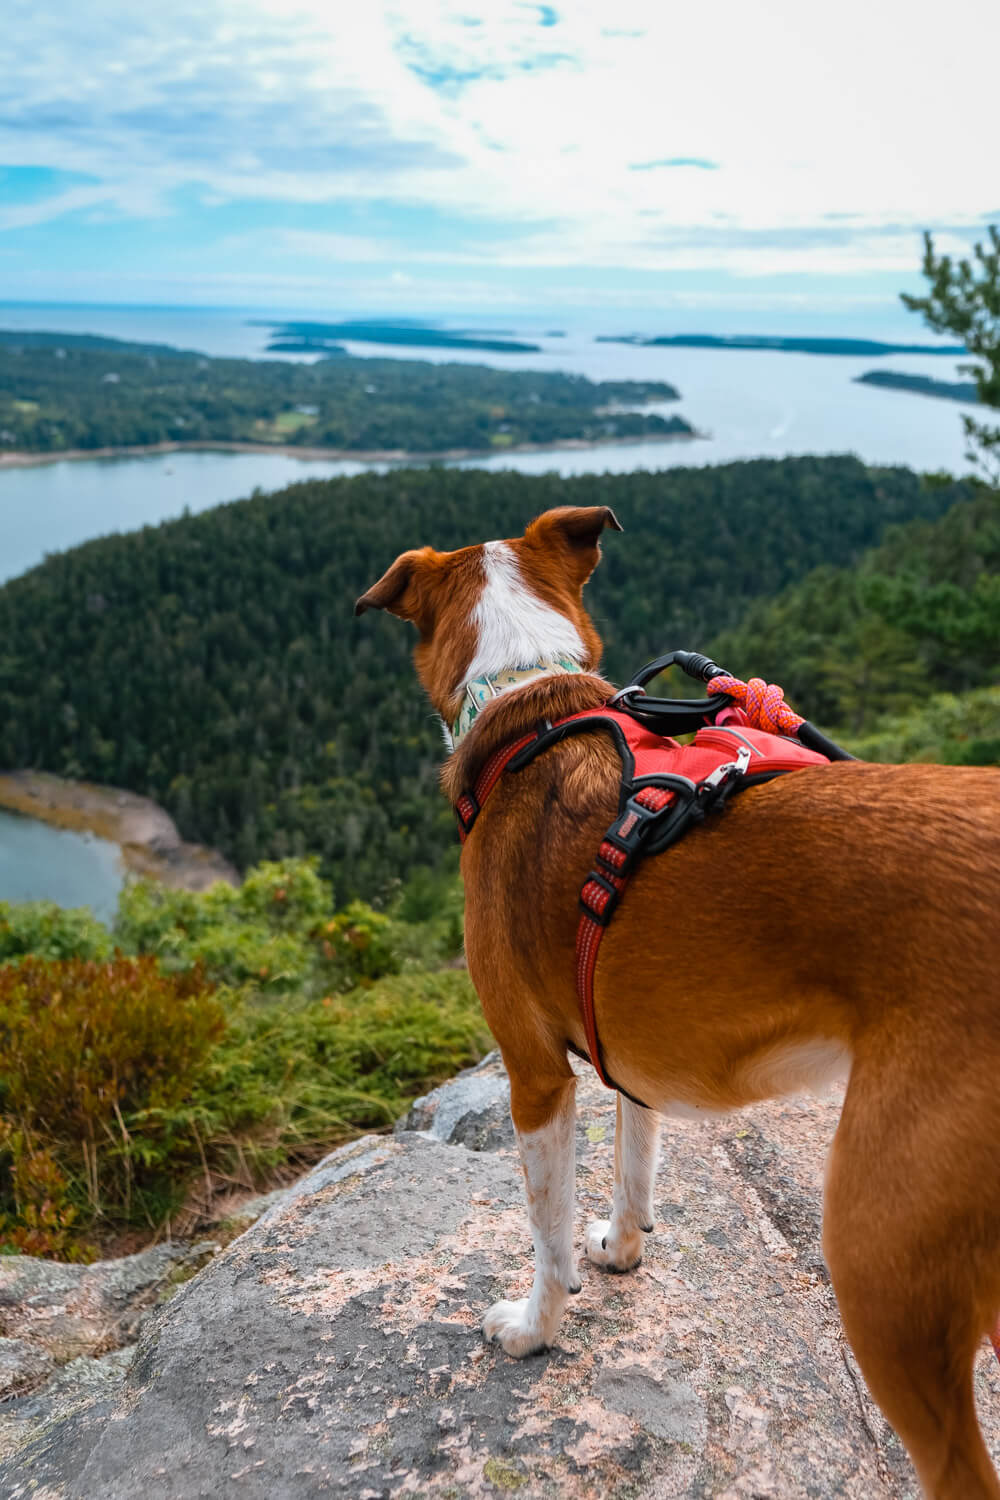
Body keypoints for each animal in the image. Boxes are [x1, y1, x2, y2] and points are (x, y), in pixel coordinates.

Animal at [355, 507, 1000, 1500]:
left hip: (882, 1260)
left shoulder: (535, 1077)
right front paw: (621, 1249)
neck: (528, 698)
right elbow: (635, 1160)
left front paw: (536, 1326)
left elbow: (544, 1229)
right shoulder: (628, 1048)